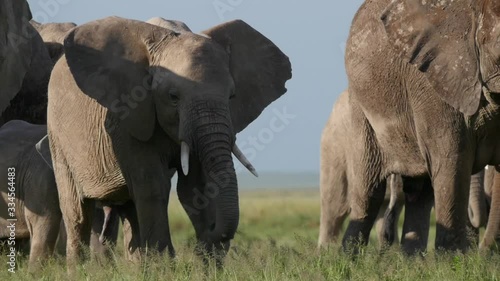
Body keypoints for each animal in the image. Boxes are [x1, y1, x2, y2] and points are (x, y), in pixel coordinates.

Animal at [44, 15, 292, 266]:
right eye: (173, 97)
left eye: (231, 96)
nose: (203, 242)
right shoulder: (126, 116)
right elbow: (154, 185)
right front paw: (167, 266)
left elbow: (196, 188)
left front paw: (207, 265)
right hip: (57, 135)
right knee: (77, 212)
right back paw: (80, 268)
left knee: (131, 209)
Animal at [344, 0, 500, 252]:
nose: (482, 252)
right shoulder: (434, 83)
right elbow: (452, 162)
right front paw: (454, 260)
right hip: (361, 109)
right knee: (369, 193)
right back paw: (346, 258)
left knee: (419, 193)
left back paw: (412, 261)